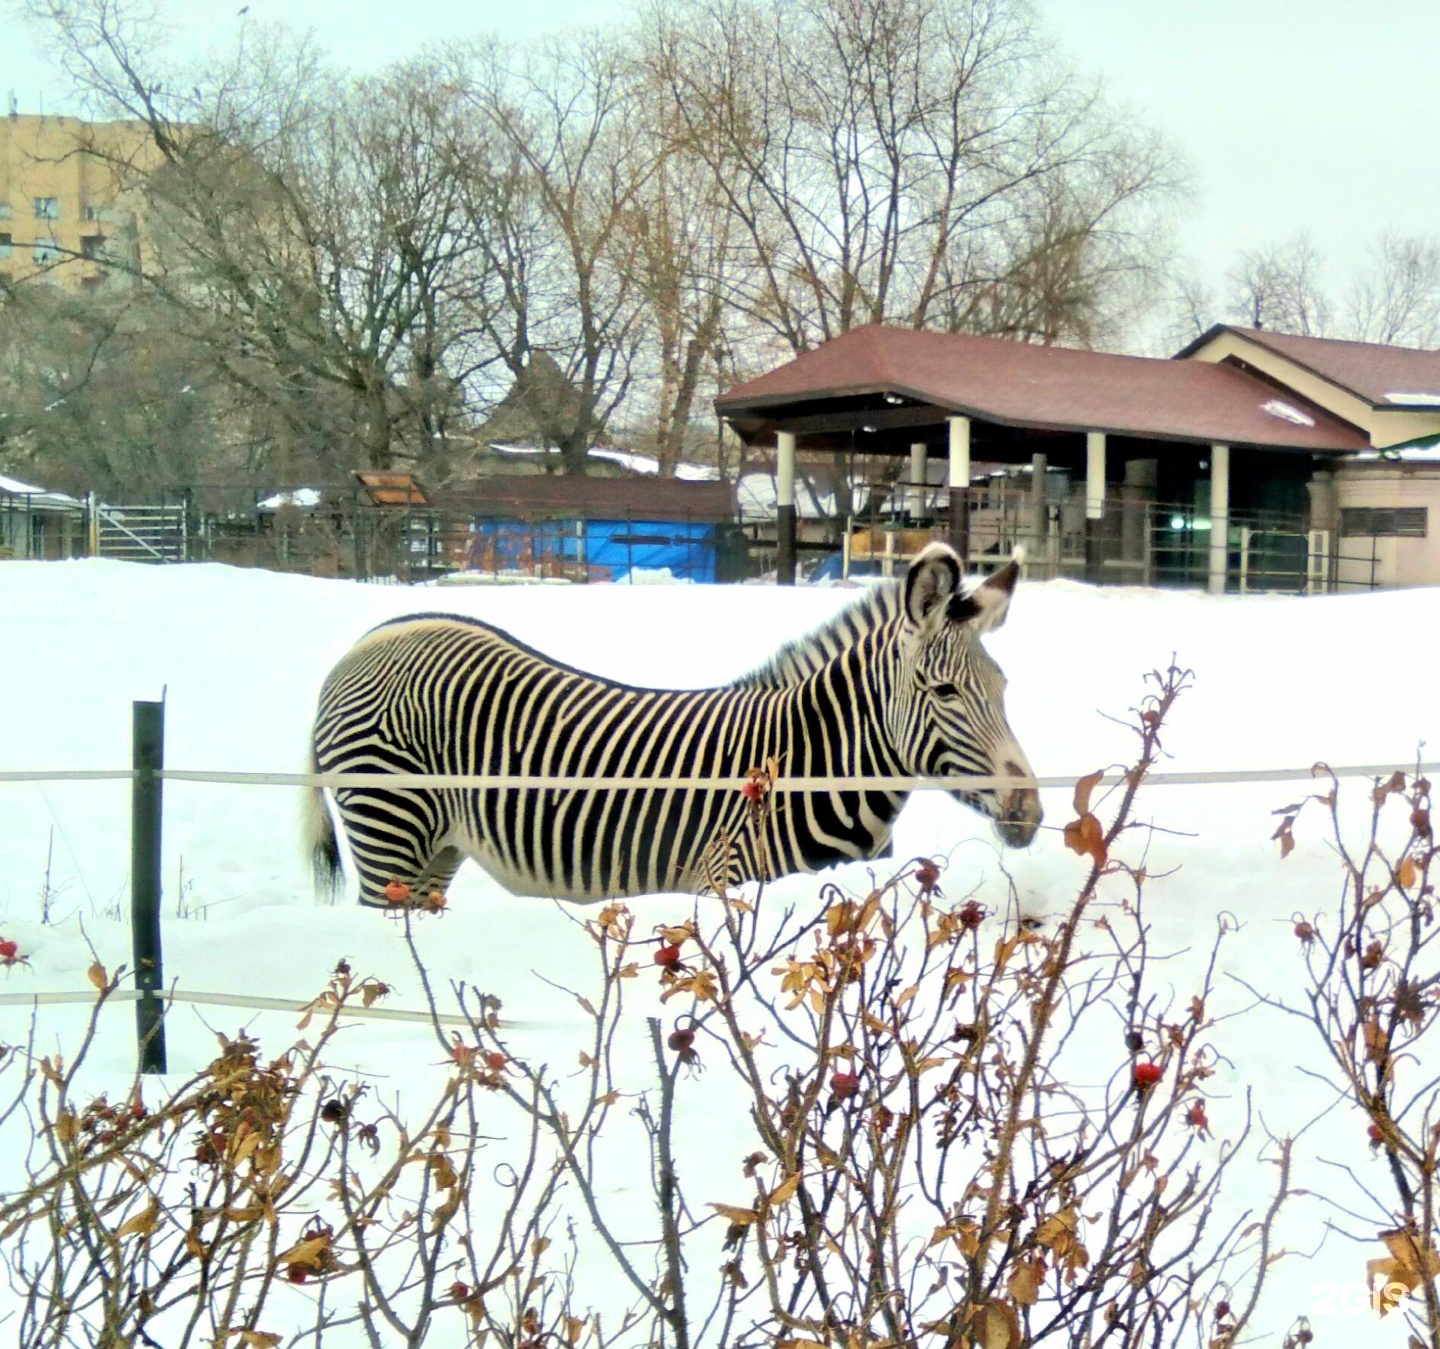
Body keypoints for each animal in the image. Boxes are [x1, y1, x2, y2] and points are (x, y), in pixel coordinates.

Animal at [309, 538, 1042, 904]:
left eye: (1005, 689)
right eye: (943, 691)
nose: (1030, 811)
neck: (810, 768)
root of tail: (372, 639)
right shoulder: (726, 886)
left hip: (438, 850)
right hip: (386, 827)